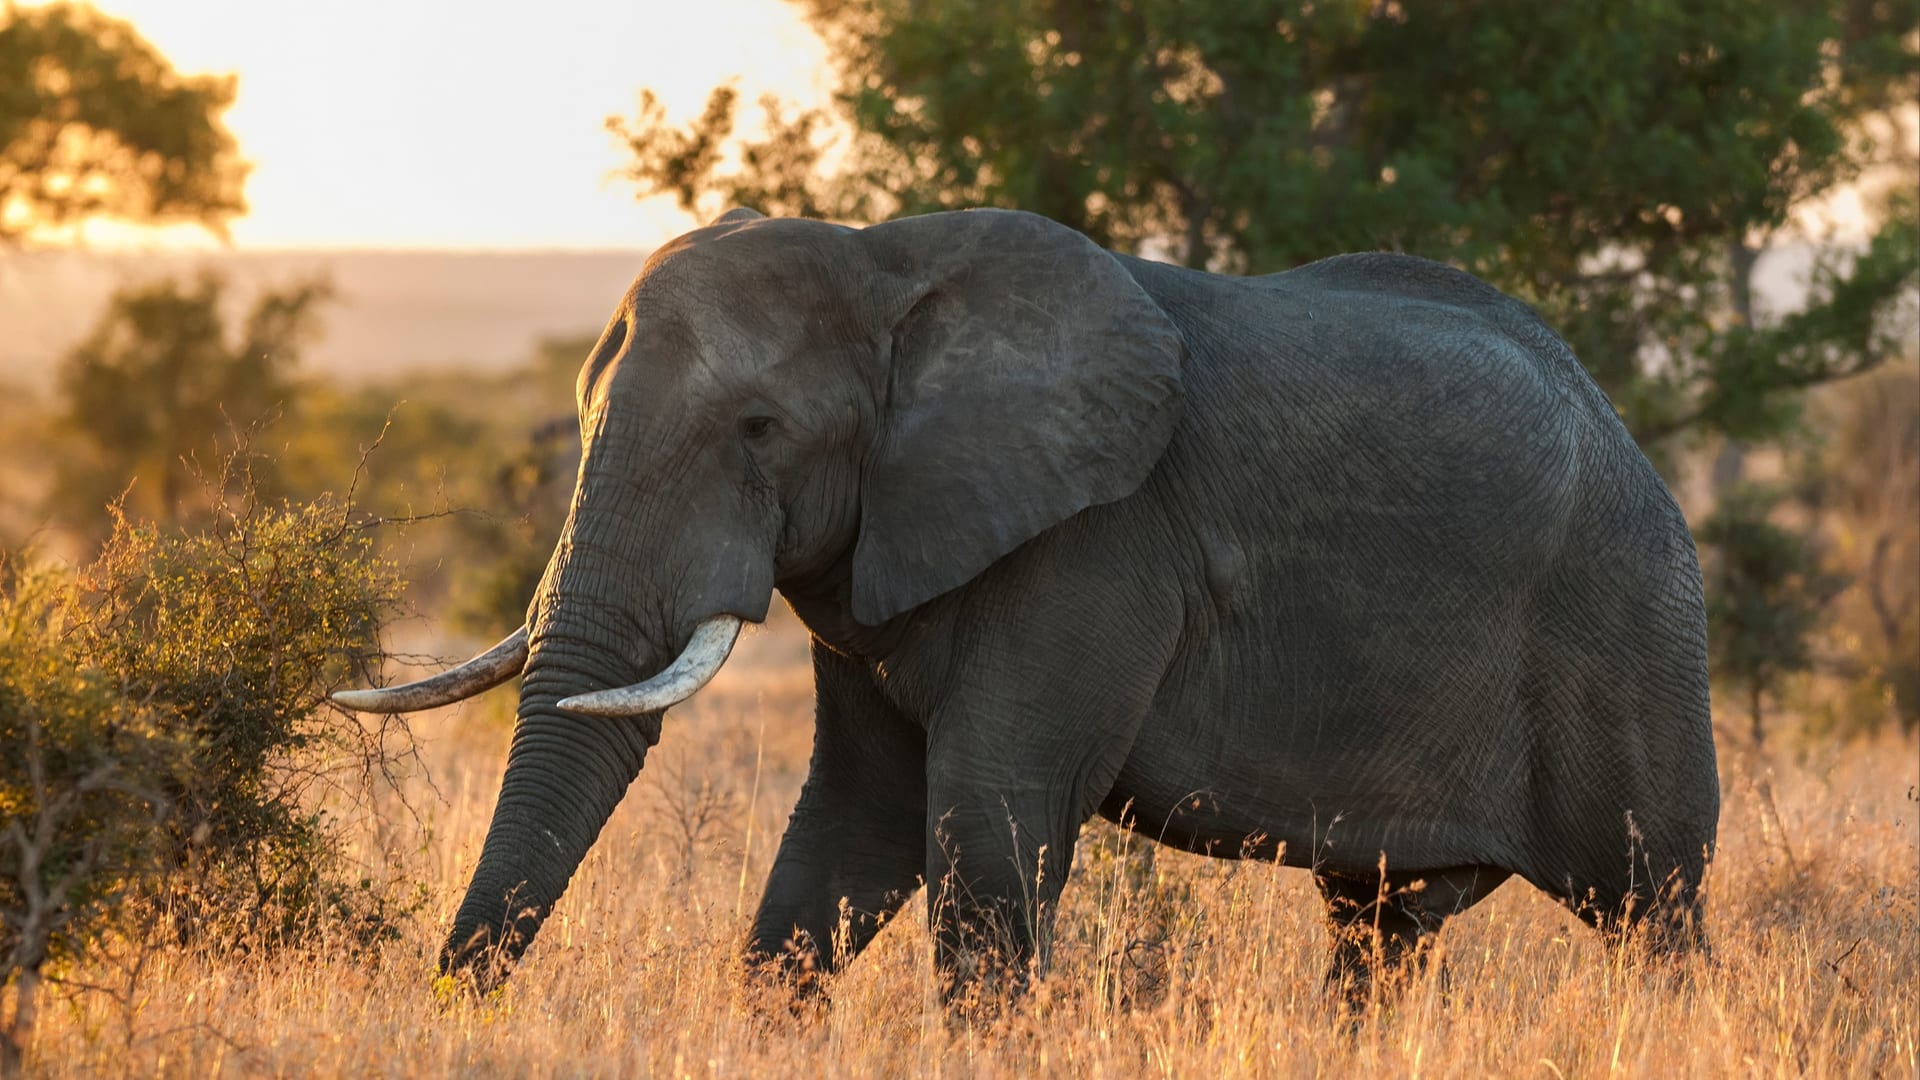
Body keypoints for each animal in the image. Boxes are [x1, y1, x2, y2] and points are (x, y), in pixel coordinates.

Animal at [336, 206, 1719, 1002]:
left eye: (759, 429)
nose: (449, 1011)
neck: (889, 263)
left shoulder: (1099, 543)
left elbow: (986, 825)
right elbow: (851, 831)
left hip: (1627, 624)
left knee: (1653, 907)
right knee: (1381, 928)